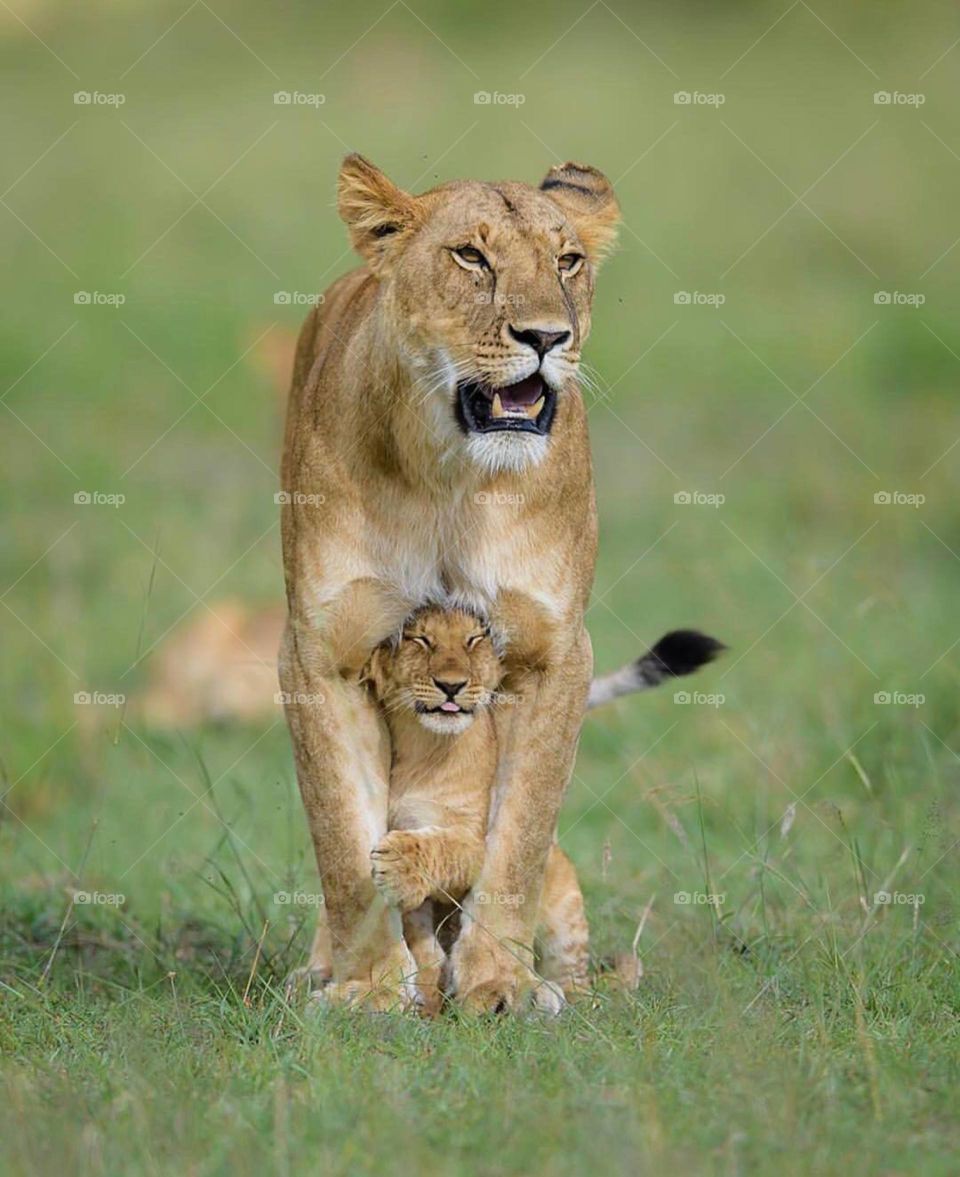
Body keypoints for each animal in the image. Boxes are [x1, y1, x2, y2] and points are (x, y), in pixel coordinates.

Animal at [279, 153, 622, 1012]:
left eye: (568, 260)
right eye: (472, 257)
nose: (548, 336)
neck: (451, 478)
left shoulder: (552, 653)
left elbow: (520, 840)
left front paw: (500, 982)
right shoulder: (320, 650)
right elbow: (341, 838)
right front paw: (370, 985)